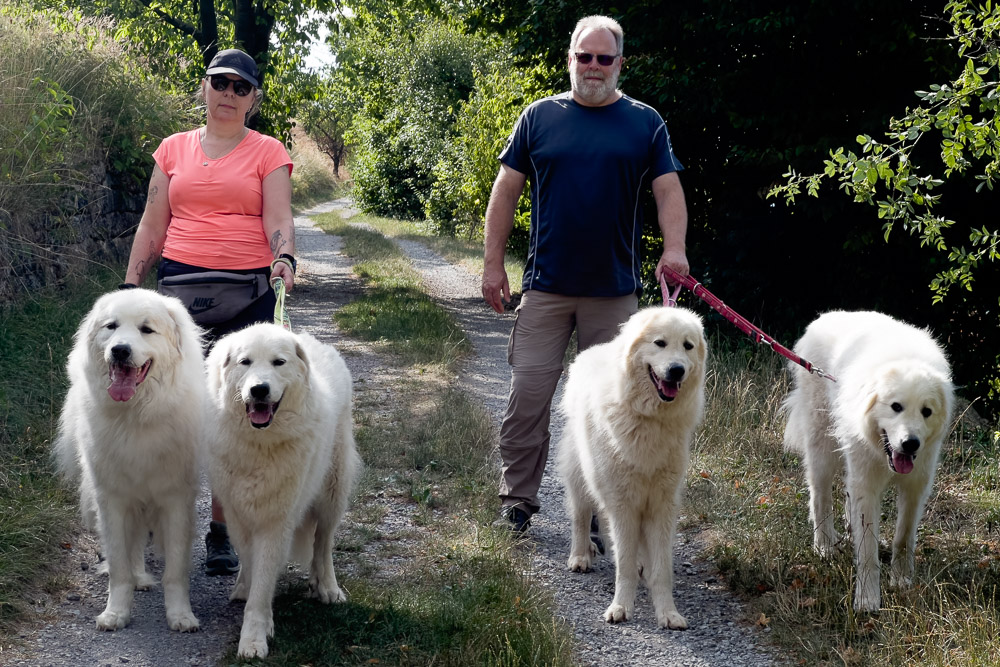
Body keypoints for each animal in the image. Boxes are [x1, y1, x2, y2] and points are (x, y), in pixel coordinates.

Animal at [55, 290, 205, 636]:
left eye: (146, 330)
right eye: (111, 327)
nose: (120, 350)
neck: (137, 415)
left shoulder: (176, 500)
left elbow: (175, 571)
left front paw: (181, 616)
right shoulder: (113, 498)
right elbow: (119, 567)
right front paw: (116, 614)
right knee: (132, 545)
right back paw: (138, 579)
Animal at [204, 324, 360, 656]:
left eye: (278, 363)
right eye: (245, 362)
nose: (259, 390)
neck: (260, 443)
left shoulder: (277, 521)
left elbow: (264, 579)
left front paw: (254, 636)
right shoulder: (238, 516)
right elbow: (253, 568)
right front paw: (256, 613)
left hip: (332, 491)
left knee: (323, 542)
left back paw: (327, 587)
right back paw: (241, 587)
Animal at [560, 308, 708, 632]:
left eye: (687, 346)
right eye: (660, 343)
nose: (677, 370)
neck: (649, 419)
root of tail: (591, 352)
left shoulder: (661, 504)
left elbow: (661, 569)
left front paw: (668, 613)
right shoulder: (623, 503)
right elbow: (624, 565)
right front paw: (620, 608)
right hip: (581, 477)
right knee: (581, 516)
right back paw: (579, 556)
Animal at [780, 310, 952, 612]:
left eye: (926, 411)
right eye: (896, 407)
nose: (911, 443)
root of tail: (823, 318)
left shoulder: (916, 486)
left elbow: (903, 537)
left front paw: (901, 581)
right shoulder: (868, 484)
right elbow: (868, 552)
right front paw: (868, 599)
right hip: (823, 450)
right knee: (820, 498)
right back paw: (824, 546)